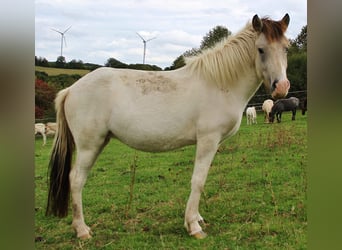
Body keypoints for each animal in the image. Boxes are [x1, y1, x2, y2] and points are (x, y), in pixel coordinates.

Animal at [46, 14, 290, 240]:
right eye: (260, 49)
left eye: (286, 49)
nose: (281, 87)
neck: (219, 83)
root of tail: (71, 89)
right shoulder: (208, 140)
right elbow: (198, 180)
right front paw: (193, 225)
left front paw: (197, 218)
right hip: (89, 145)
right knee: (76, 180)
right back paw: (82, 230)